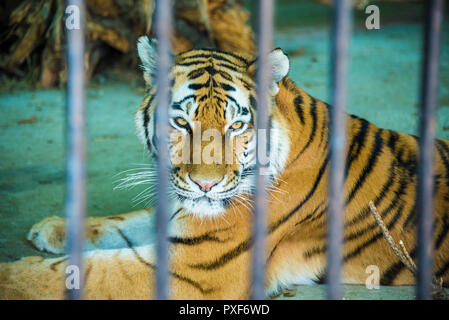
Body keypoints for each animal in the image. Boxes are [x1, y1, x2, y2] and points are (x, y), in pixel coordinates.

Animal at [0, 36, 448, 298]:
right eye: (182, 122)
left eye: (236, 126)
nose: (205, 186)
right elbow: (120, 223)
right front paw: (51, 228)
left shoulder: (194, 269)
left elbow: (79, 272)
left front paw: (11, 276)